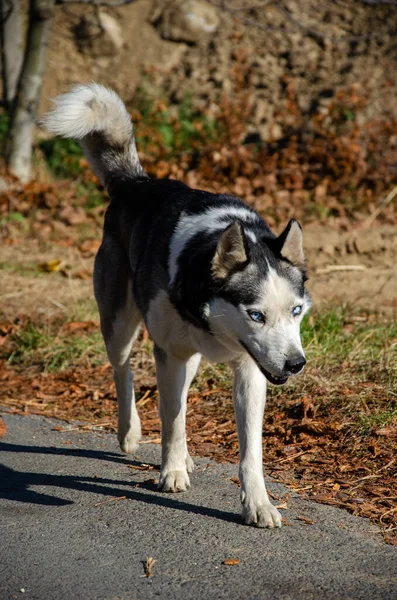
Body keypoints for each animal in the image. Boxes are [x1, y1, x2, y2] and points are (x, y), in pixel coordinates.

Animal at [43, 83, 310, 524]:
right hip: (122, 327)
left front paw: (258, 504)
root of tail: (138, 184)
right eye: (256, 315)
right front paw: (170, 473)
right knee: (125, 373)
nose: (295, 364)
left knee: (179, 400)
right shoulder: (168, 353)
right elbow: (170, 421)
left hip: (189, 357)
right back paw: (131, 434)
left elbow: (250, 451)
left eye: (297, 311)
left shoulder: (250, 371)